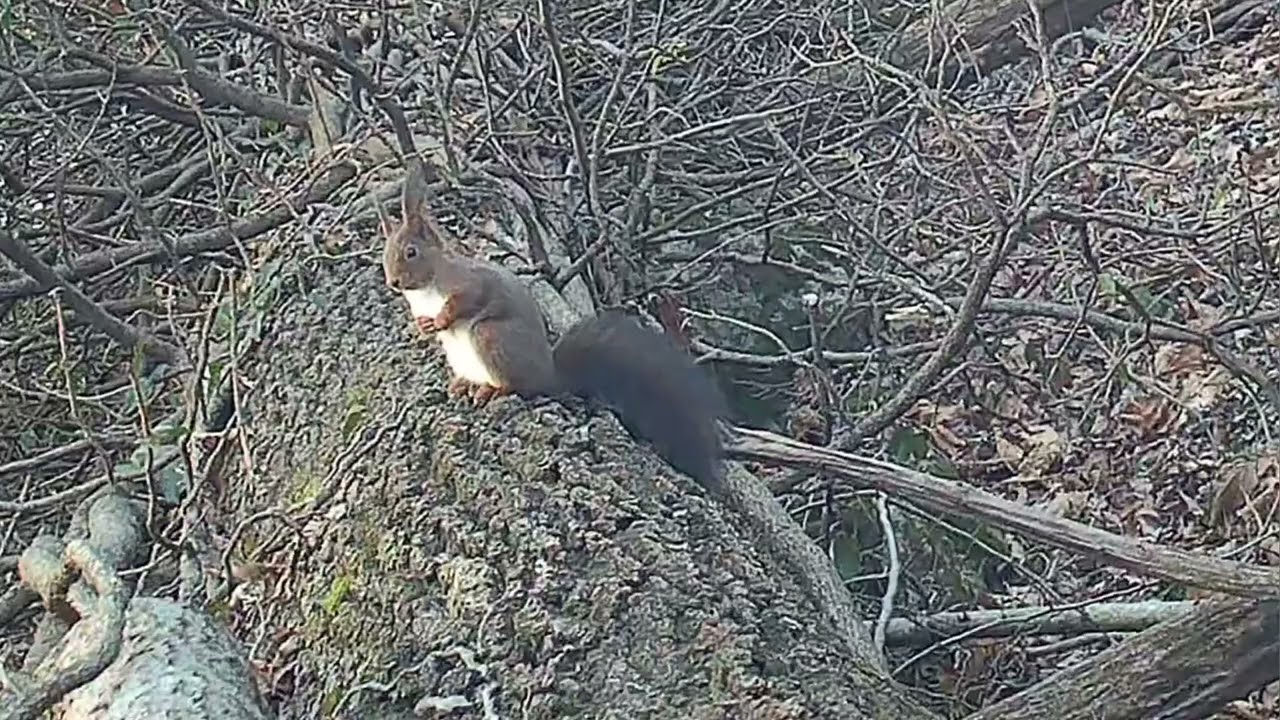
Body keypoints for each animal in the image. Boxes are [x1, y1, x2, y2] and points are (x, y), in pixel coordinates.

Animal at [381, 160, 727, 490]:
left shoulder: (469, 285)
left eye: (411, 252)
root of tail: (549, 375)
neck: (427, 286)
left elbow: (465, 302)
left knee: (518, 385)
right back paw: (463, 384)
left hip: (489, 336)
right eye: (385, 254)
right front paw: (423, 325)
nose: (393, 283)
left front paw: (440, 319)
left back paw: (491, 389)